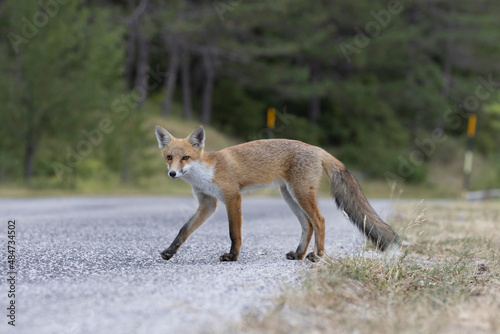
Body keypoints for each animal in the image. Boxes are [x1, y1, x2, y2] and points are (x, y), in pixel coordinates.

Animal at [154, 124, 400, 262]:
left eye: (186, 157)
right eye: (169, 157)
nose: (172, 173)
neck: (204, 172)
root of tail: (316, 148)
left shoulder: (232, 197)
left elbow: (234, 233)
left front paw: (232, 257)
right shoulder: (208, 203)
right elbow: (184, 230)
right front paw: (169, 251)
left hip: (301, 194)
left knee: (319, 221)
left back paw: (317, 255)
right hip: (289, 196)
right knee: (308, 225)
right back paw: (299, 254)